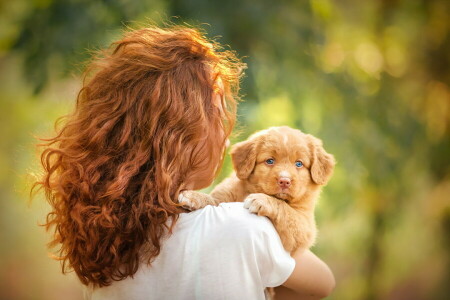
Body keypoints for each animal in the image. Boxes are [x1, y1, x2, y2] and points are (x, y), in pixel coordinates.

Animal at [179, 125, 334, 253]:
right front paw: (193, 196)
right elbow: (214, 200)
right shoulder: (224, 196)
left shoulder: (304, 227)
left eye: (299, 164)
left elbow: (286, 210)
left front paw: (261, 200)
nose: (285, 181)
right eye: (270, 161)